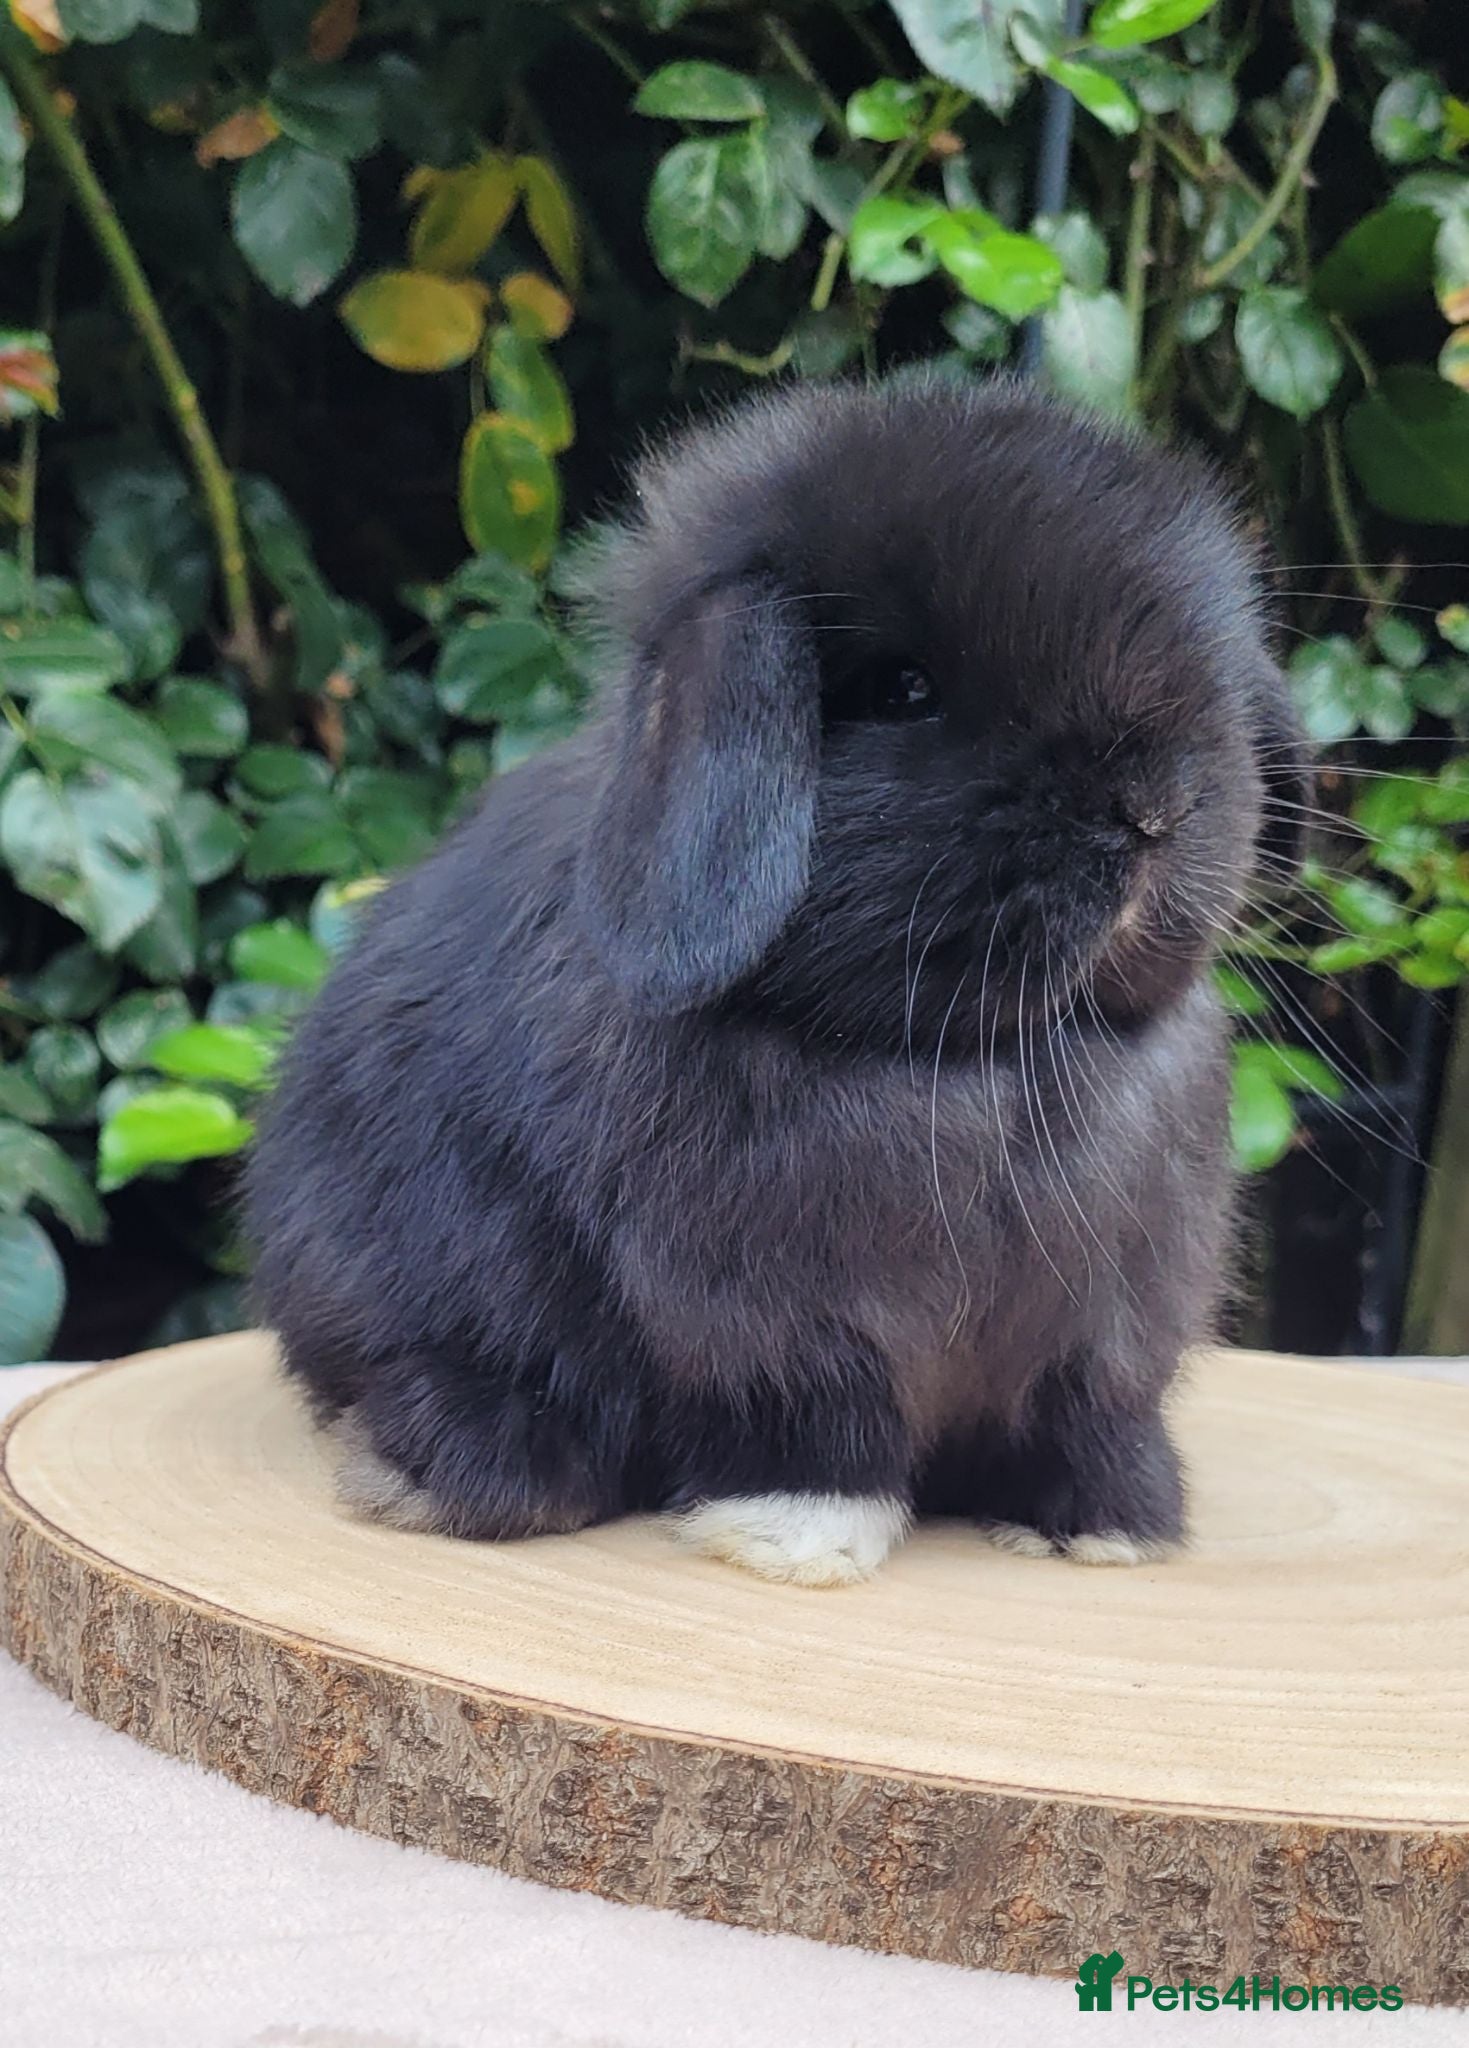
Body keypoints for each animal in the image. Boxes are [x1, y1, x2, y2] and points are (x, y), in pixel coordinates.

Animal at [246, 372, 1308, 1588]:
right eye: (902, 689)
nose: (1150, 808)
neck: (980, 1057)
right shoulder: (768, 1317)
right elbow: (810, 1417)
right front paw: (797, 1536)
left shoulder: (1109, 1327)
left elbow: (1089, 1415)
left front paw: (1109, 1525)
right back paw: (460, 1465)